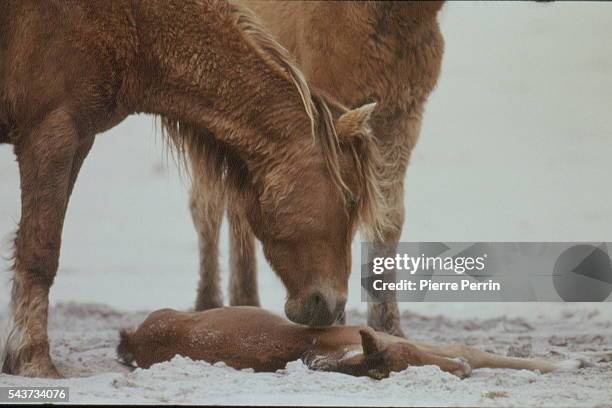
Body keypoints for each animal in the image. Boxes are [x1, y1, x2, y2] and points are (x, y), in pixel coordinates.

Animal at [0, 0, 382, 378]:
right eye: (350, 199)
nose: (330, 306)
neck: (136, 23)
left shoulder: (79, 141)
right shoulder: (52, 134)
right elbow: (40, 250)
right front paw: (33, 359)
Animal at [190, 0, 444, 338]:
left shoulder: (400, 116)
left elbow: (386, 219)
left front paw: (388, 330)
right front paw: (336, 324)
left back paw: (246, 302)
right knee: (207, 205)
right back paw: (209, 304)